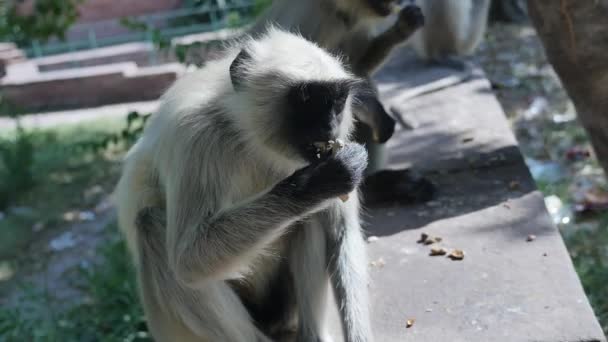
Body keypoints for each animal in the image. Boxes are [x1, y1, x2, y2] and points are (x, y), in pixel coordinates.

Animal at [112, 28, 372, 340]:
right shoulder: (195, 134)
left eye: (336, 101)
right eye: (306, 100)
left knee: (311, 220)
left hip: (283, 308)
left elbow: (342, 231)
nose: (329, 126)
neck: (251, 141)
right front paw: (322, 180)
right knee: (149, 224)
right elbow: (189, 259)